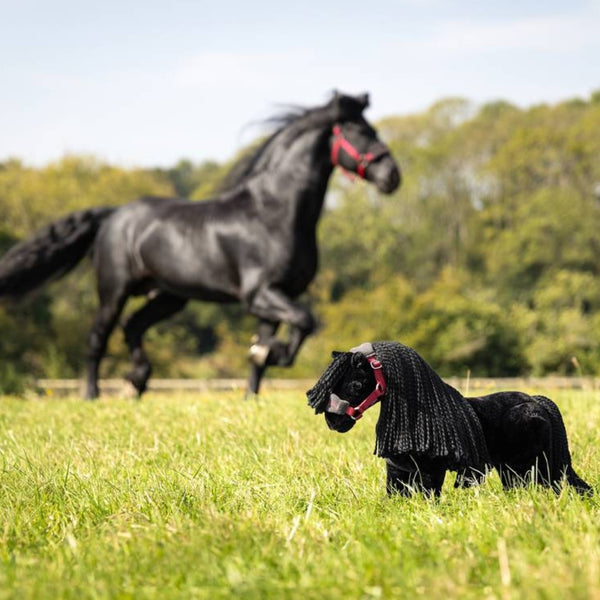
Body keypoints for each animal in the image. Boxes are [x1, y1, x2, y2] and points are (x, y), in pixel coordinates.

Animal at [2, 92, 404, 398]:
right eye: (358, 131)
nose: (392, 176)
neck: (274, 213)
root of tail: (114, 215)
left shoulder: (275, 299)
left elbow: (269, 352)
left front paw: (256, 381)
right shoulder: (259, 294)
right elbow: (305, 321)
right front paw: (268, 354)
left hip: (169, 296)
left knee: (133, 327)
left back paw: (137, 382)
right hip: (114, 290)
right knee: (97, 338)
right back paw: (93, 395)